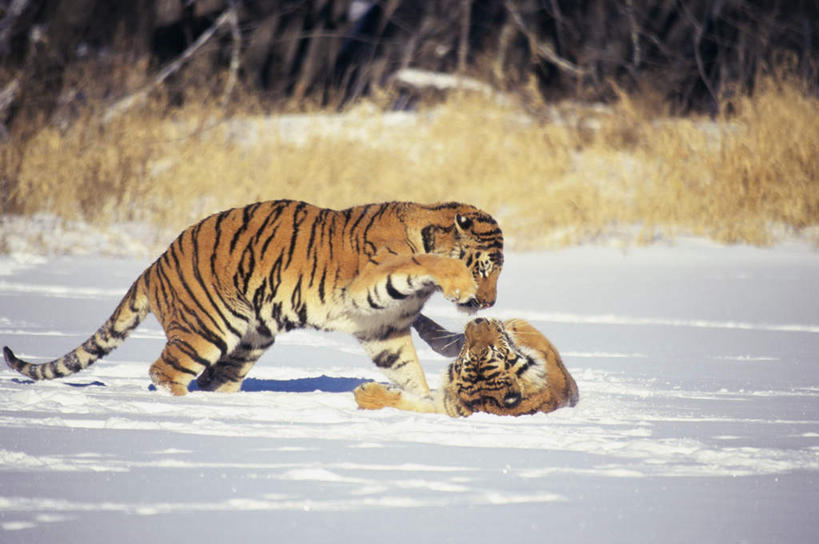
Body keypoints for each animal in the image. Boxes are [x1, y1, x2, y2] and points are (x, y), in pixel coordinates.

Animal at [4, 200, 506, 396]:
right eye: (487, 269)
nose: (488, 303)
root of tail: (153, 266)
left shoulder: (384, 329)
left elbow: (406, 371)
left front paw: (426, 405)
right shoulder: (371, 280)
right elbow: (425, 262)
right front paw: (457, 280)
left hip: (251, 337)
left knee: (214, 379)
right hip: (207, 328)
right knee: (164, 371)